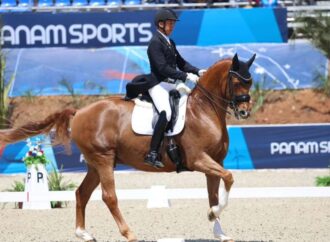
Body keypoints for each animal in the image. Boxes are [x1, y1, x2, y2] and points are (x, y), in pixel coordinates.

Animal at [0, 53, 255, 242]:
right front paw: (213, 216)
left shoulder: (215, 162)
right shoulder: (198, 159)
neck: (203, 111)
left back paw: (83, 233)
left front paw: (218, 229)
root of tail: (79, 111)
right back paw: (129, 233)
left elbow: (214, 195)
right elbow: (229, 178)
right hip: (103, 159)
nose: (245, 112)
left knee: (82, 193)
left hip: (96, 164)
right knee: (109, 196)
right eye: (236, 82)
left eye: (250, 81)